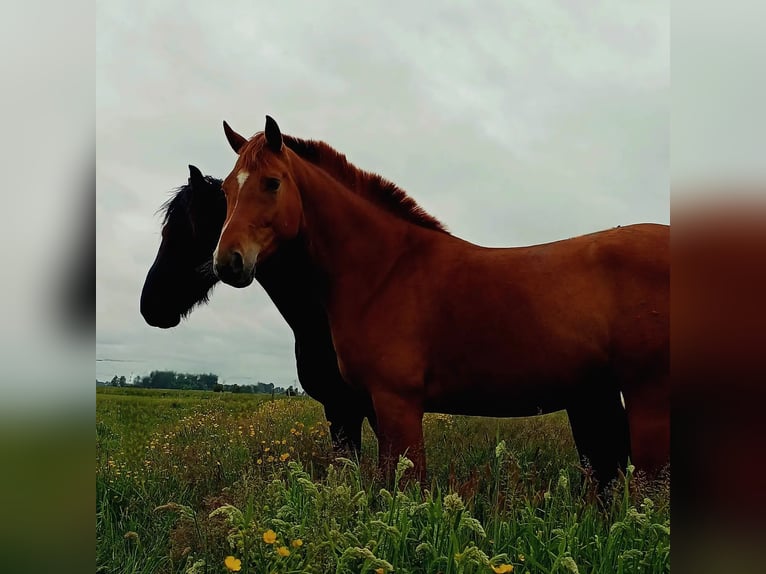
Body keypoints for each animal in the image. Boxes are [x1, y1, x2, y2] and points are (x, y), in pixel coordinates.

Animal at [214, 117, 664, 486]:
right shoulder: (374, 406)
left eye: (272, 182)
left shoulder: (397, 403)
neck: (385, 270)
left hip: (647, 397)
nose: (227, 262)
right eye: (225, 189)